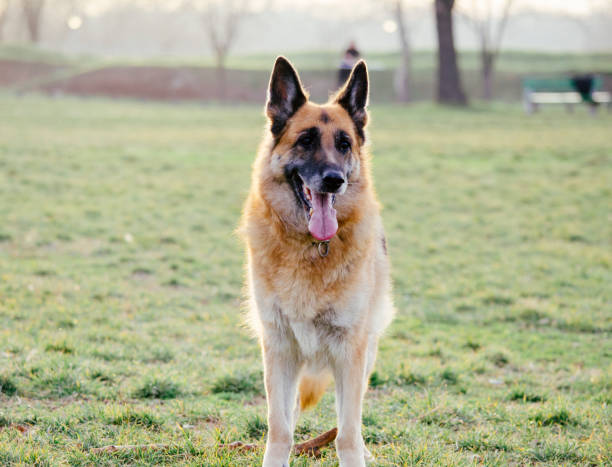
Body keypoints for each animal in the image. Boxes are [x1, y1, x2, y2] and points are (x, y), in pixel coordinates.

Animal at [241, 56, 394, 466]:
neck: (313, 247)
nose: (333, 180)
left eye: (344, 144)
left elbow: (348, 434)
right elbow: (279, 428)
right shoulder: (278, 349)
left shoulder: (350, 352)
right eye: (306, 140)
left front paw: (356, 454)